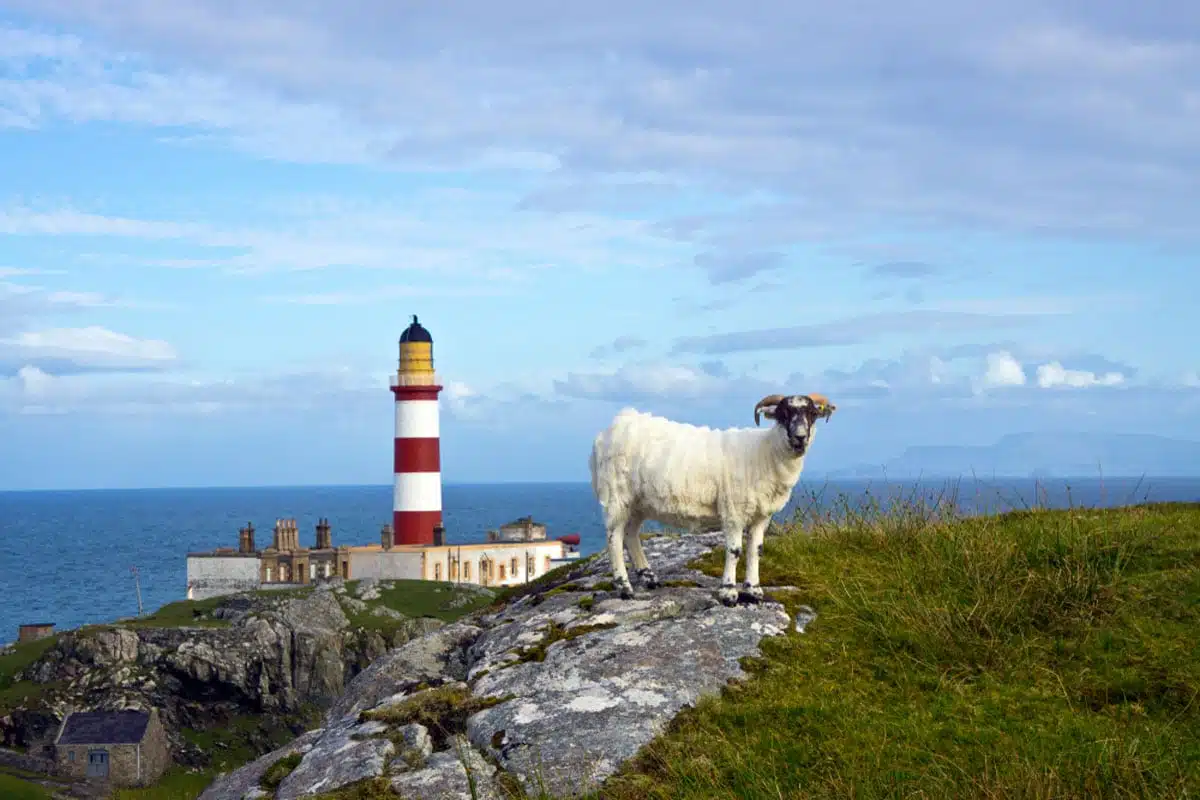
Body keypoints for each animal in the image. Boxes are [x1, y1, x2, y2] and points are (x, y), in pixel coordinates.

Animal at [588, 393, 835, 606]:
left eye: (812, 414)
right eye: (783, 413)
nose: (800, 438)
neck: (764, 453)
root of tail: (614, 425)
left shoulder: (761, 516)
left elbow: (756, 550)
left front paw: (754, 591)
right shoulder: (734, 510)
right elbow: (735, 550)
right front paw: (729, 593)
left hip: (639, 501)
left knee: (631, 534)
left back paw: (648, 577)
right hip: (617, 494)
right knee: (614, 537)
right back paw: (624, 587)